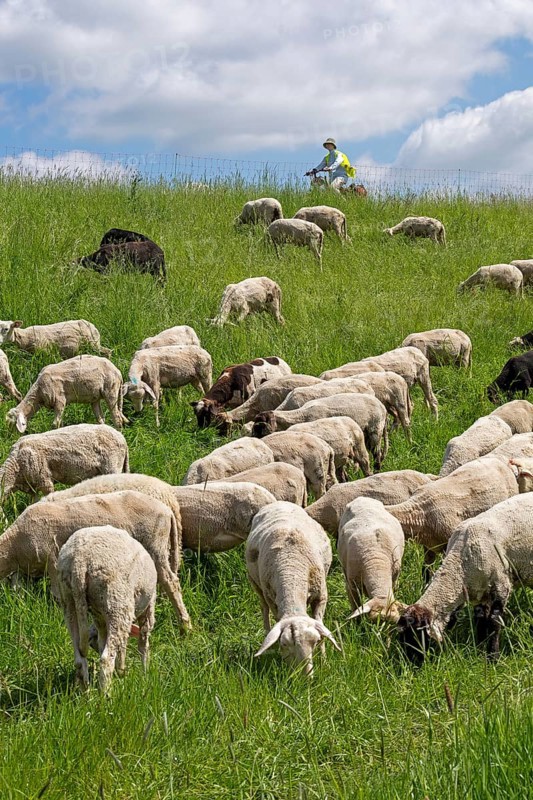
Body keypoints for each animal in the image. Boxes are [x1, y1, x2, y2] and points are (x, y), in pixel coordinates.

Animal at [0, 490, 190, 629]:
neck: (14, 544)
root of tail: (167, 511)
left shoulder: (52, 560)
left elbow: (57, 594)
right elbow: (18, 589)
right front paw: (20, 606)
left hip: (155, 547)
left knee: (171, 582)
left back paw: (185, 625)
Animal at [57, 526, 157, 691]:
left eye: (93, 640)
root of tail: (80, 560)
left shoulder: (100, 619)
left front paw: (122, 671)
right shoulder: (149, 606)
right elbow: (143, 642)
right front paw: (144, 674)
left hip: (68, 599)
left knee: (79, 659)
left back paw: (85, 693)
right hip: (118, 602)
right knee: (105, 659)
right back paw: (106, 695)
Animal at [246, 501, 340, 675]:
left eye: (314, 642)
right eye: (284, 644)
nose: (305, 677)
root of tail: (279, 502)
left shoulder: (321, 596)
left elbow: (320, 625)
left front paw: (324, 661)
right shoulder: (272, 600)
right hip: (255, 584)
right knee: (264, 609)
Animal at [252, 393, 389, 470]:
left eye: (261, 428)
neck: (301, 416)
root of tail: (382, 406)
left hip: (375, 431)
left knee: (376, 453)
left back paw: (377, 469)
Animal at [398, 494, 533, 662]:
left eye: (416, 636)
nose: (410, 664)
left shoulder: (501, 585)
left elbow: (494, 623)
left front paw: (492, 658)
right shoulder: (479, 592)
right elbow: (481, 620)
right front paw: (479, 647)